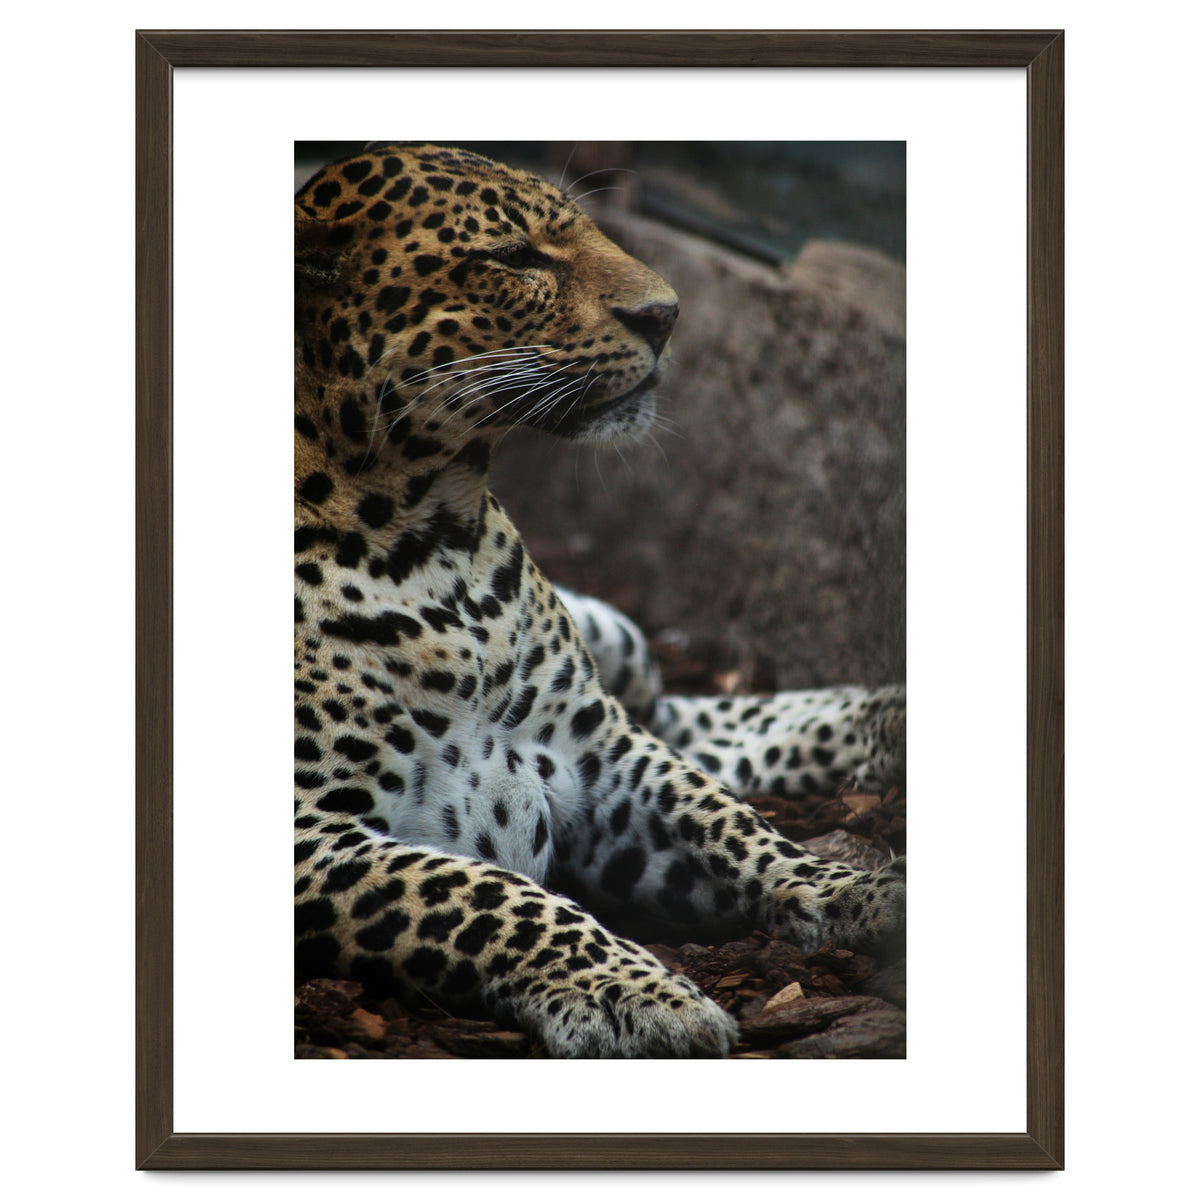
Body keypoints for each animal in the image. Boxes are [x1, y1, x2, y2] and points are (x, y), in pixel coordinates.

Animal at [294, 143, 906, 1058]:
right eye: (514, 257)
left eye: (582, 229)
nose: (668, 314)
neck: (433, 538)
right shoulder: (310, 834)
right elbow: (486, 895)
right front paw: (637, 994)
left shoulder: (598, 752)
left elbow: (727, 821)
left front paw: (855, 891)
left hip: (620, 652)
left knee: (683, 718)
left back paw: (887, 718)